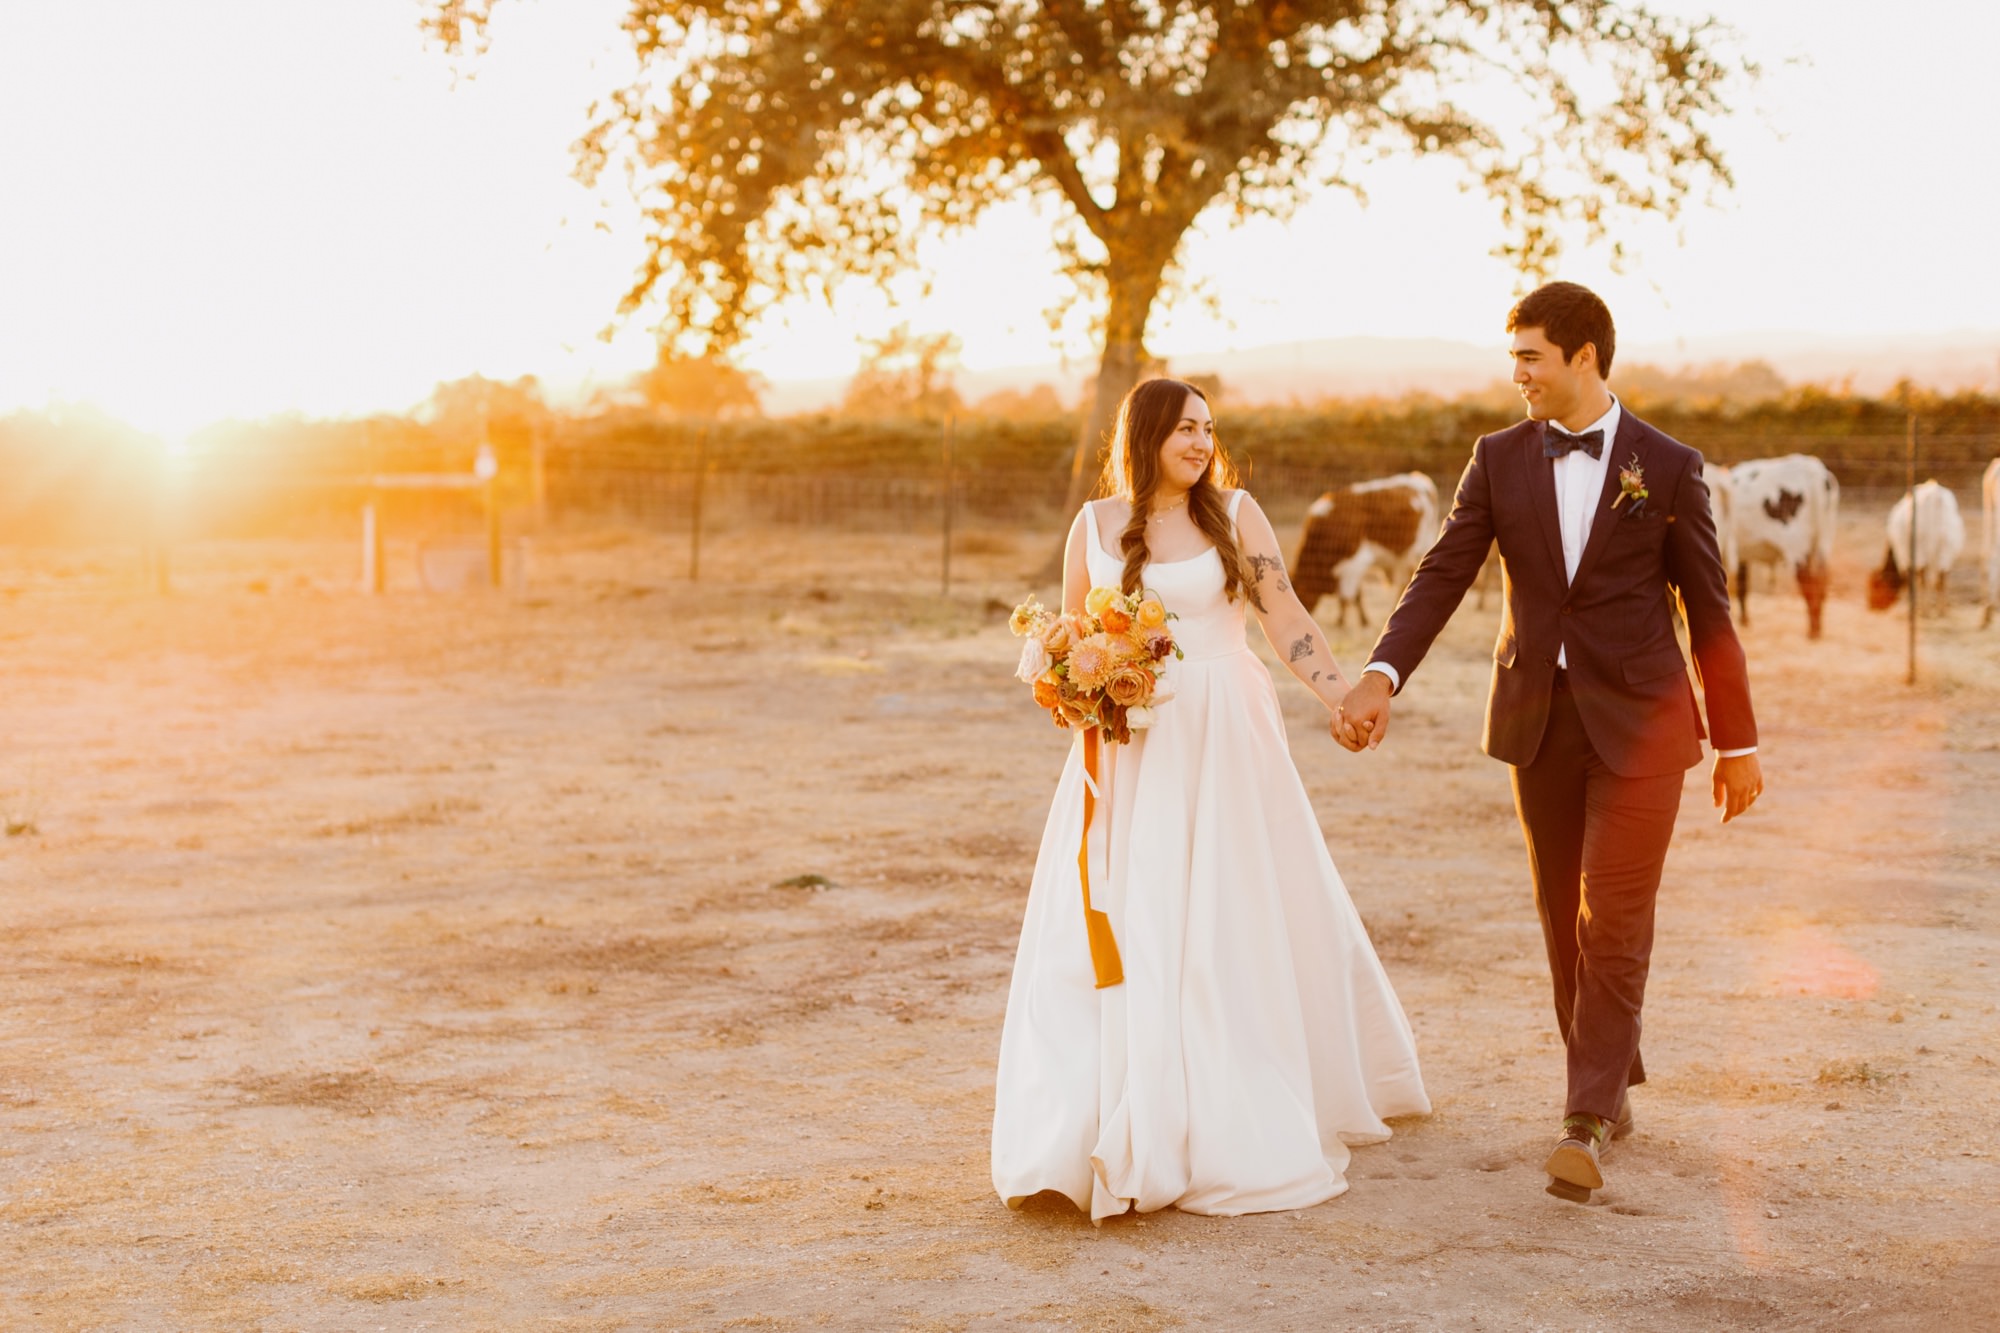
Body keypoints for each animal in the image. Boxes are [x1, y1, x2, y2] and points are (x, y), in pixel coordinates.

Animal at [1296, 470, 1440, 624]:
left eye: (1300, 595)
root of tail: (1417, 477)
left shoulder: (1354, 563)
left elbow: (1346, 597)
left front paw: (1341, 622)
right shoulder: (1353, 567)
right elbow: (1356, 595)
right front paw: (1362, 620)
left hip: (1418, 551)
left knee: (1406, 583)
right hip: (1403, 558)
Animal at [1728, 454, 1832, 636]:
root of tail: (1813, 469)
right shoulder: (1742, 554)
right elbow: (1742, 585)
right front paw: (1745, 620)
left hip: (1797, 546)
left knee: (1808, 583)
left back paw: (1812, 631)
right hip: (1822, 544)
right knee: (1821, 581)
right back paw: (1817, 627)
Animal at [1872, 480, 1968, 616]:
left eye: (1875, 585)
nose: (1872, 606)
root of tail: (1934, 495)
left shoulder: (1904, 558)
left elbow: (1910, 581)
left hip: (1920, 552)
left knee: (1923, 581)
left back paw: (1924, 610)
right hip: (1946, 552)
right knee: (1941, 579)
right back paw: (1941, 610)